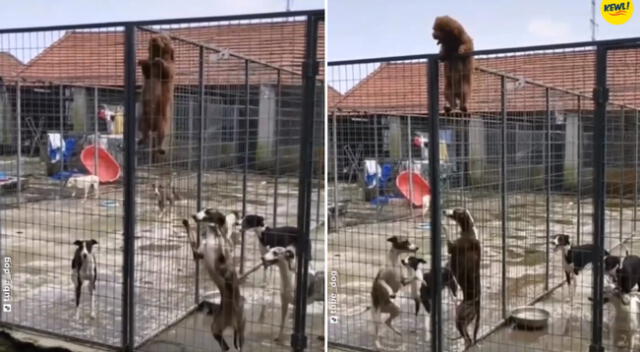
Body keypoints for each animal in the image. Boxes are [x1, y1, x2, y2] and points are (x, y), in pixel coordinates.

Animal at [444, 208, 480, 348]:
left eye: (455, 211)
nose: (444, 211)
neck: (469, 230)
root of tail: (477, 307)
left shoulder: (451, 247)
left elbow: (447, 236)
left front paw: (443, 225)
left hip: (460, 318)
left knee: (468, 340)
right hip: (460, 319)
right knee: (467, 339)